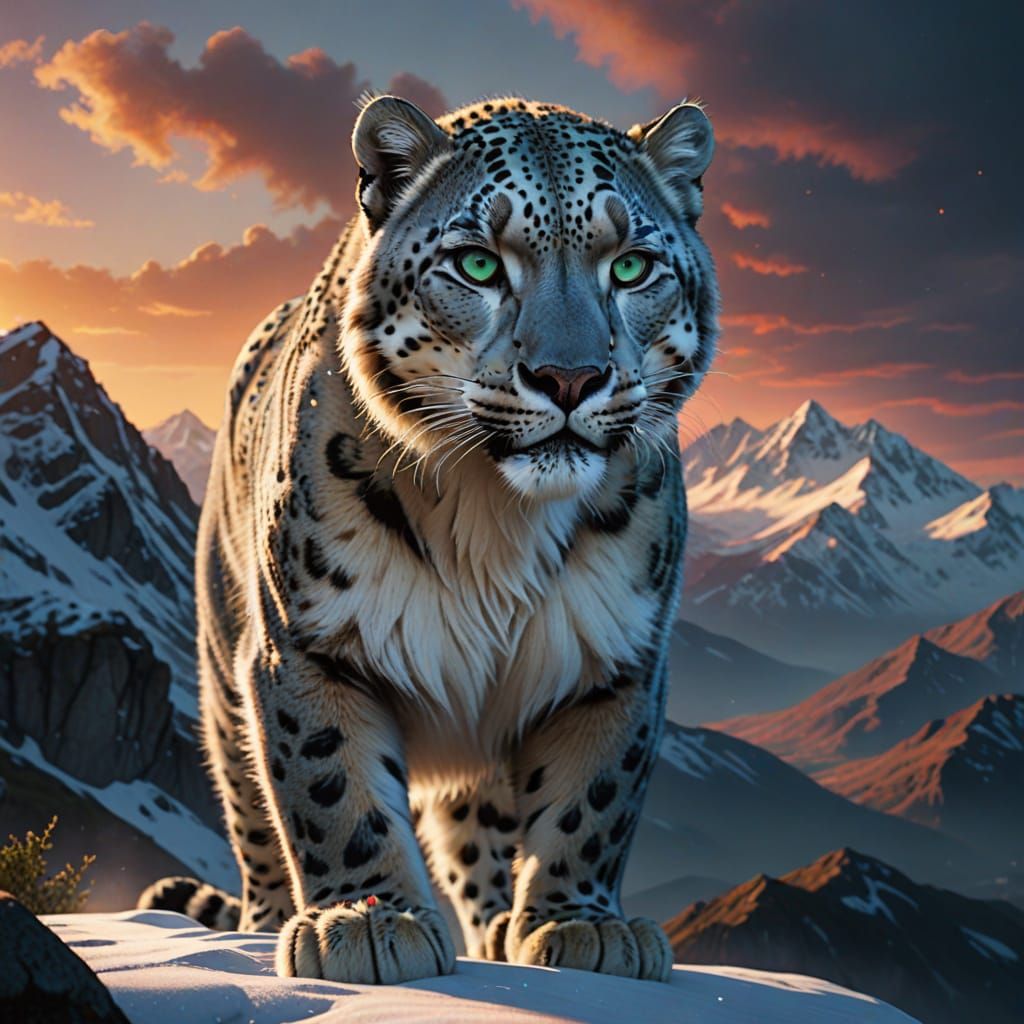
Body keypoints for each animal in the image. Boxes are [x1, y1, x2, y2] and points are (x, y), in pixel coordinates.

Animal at [138, 93, 718, 985]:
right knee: (253, 816)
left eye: (630, 267)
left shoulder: (617, 656)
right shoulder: (309, 641)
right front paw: (367, 921)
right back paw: (264, 925)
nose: (571, 378)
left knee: (483, 841)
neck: (496, 522)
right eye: (477, 265)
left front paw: (580, 927)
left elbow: (592, 799)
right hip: (223, 670)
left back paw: (501, 931)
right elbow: (329, 784)